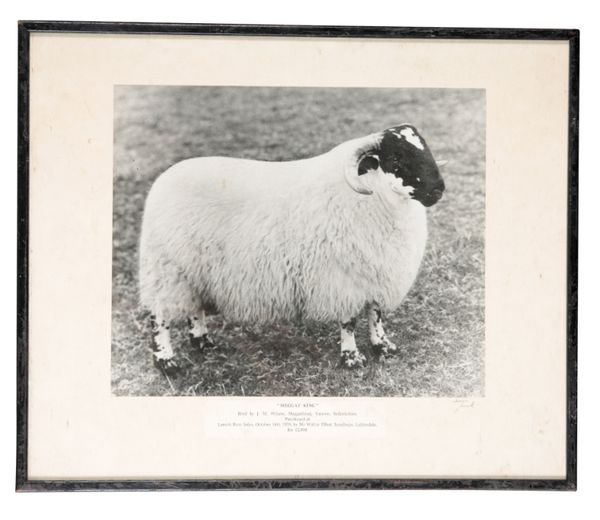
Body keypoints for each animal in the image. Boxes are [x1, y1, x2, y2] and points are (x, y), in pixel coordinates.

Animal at [138, 124, 442, 372]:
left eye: (425, 149)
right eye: (396, 158)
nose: (439, 190)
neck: (374, 196)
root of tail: (163, 180)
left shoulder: (377, 272)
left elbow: (375, 314)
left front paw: (383, 346)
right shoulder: (343, 279)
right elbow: (349, 322)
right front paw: (352, 357)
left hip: (194, 268)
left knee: (194, 306)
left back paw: (202, 342)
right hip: (166, 267)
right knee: (159, 316)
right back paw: (166, 361)